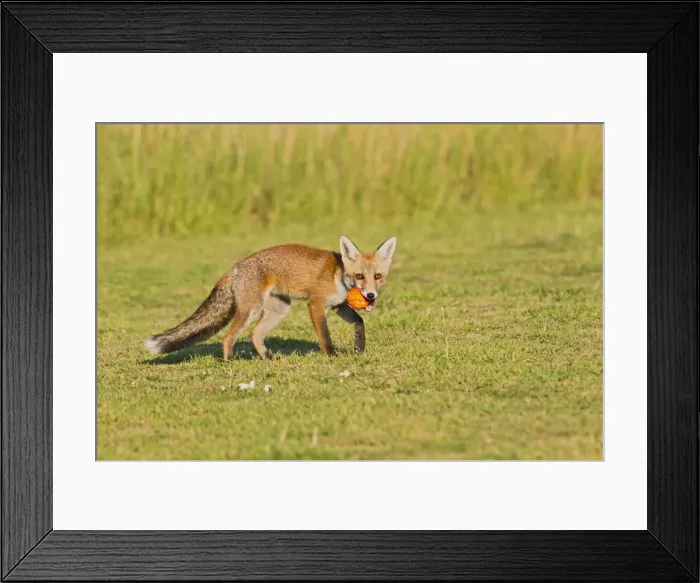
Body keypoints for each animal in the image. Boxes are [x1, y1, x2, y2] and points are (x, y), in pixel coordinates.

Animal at [144, 235, 397, 360]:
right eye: (359, 276)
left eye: (377, 276)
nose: (370, 295)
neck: (338, 274)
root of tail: (235, 268)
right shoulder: (316, 304)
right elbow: (325, 336)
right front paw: (332, 357)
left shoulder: (338, 305)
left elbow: (359, 322)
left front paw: (359, 348)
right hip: (251, 309)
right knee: (229, 336)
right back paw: (229, 361)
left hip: (278, 310)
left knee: (254, 335)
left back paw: (268, 358)